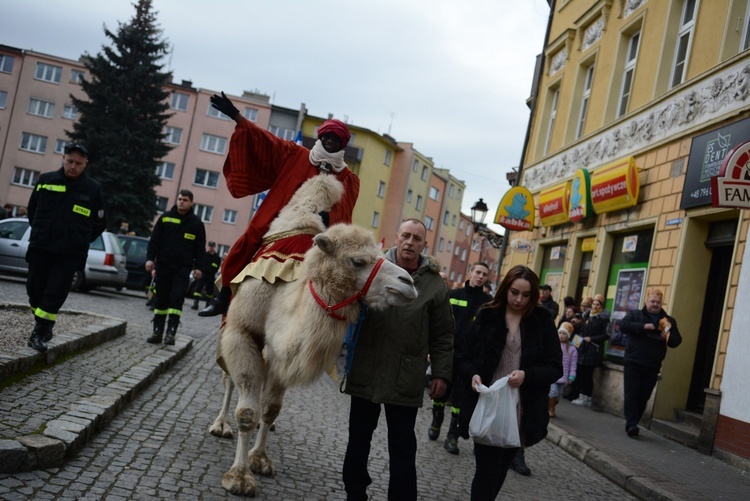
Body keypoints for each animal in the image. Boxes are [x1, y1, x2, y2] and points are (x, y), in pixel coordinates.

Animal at [212, 174, 420, 494]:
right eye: (357, 261)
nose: (407, 282)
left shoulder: (280, 355)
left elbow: (271, 408)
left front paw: (260, 459)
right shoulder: (243, 333)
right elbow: (246, 412)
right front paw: (239, 477)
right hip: (228, 330)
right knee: (228, 380)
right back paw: (220, 425)